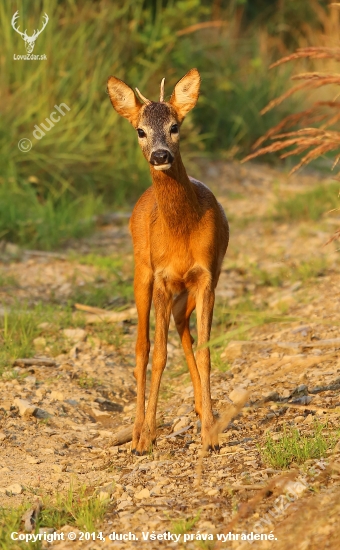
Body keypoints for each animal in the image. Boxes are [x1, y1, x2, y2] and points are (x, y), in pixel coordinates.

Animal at [107, 70, 228, 458]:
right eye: (140, 131)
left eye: (176, 126)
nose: (161, 155)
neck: (179, 232)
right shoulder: (160, 276)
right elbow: (158, 354)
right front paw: (145, 438)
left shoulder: (206, 276)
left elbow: (205, 351)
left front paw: (210, 436)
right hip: (140, 272)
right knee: (141, 348)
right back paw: (136, 432)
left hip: (189, 287)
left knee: (181, 325)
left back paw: (202, 409)